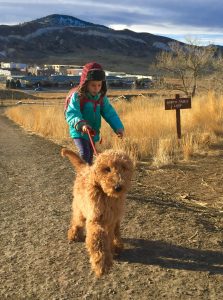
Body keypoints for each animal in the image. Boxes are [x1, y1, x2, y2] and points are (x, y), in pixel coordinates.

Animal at [61, 149, 133, 278]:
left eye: (124, 167)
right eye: (107, 169)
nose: (118, 187)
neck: (108, 196)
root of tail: (85, 168)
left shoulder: (114, 218)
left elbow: (115, 233)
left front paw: (116, 246)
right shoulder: (96, 219)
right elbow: (99, 241)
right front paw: (102, 264)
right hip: (80, 207)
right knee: (76, 221)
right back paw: (73, 234)